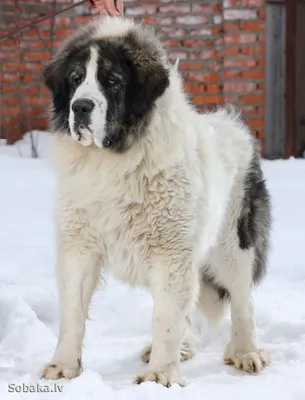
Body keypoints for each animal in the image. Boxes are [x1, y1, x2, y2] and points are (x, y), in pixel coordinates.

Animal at [41, 16, 270, 388]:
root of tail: (232, 124)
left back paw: (246, 352)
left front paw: (160, 375)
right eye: (75, 80)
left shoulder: (170, 252)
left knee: (242, 299)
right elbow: (72, 312)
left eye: (113, 81)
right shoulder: (79, 245)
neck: (115, 160)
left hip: (232, 246)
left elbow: (166, 318)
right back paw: (186, 349)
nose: (81, 106)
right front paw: (63, 367)